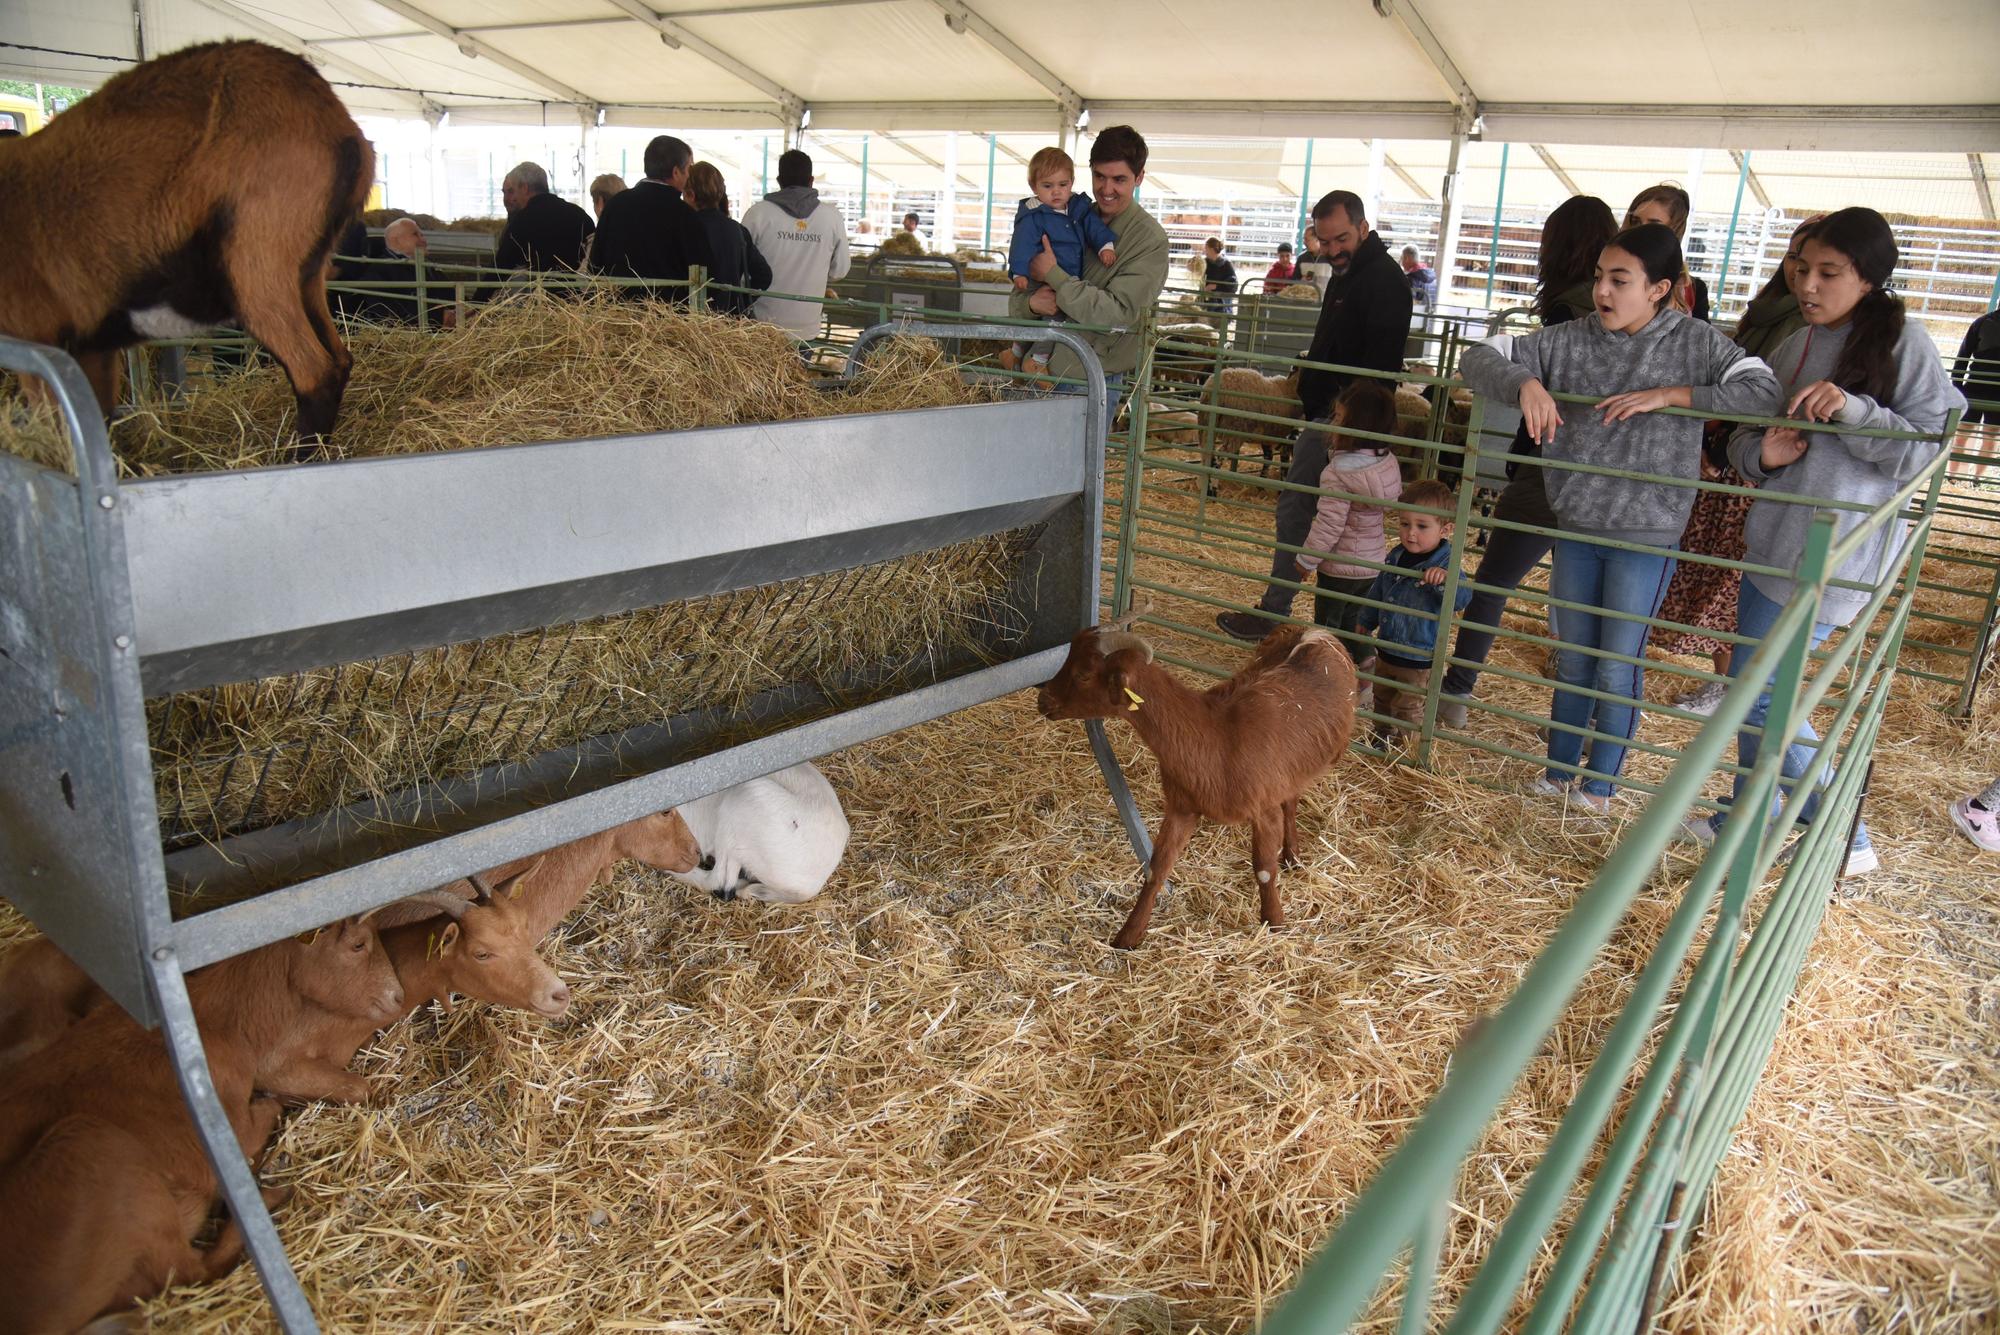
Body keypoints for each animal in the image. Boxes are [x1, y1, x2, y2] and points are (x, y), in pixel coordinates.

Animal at [0, 41, 374, 451]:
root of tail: (341, 127)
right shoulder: (92, 347)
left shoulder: (41, 337)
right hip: (306, 274)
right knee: (340, 358)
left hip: (256, 264)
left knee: (315, 371)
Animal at [0, 919, 402, 1335]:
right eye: (358, 944)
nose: (399, 996)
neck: (219, 1019)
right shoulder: (233, 1121)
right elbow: (272, 1104)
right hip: (98, 1151)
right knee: (189, 1271)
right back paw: (268, 1198)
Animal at [1032, 603, 1360, 947]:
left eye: (1083, 674)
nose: (1043, 700)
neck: (1217, 736)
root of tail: (1314, 633)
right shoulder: (1182, 807)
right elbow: (1157, 867)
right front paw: (1129, 935)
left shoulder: (1263, 808)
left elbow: (1263, 868)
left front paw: (1275, 920)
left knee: (1292, 802)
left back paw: (1293, 856)